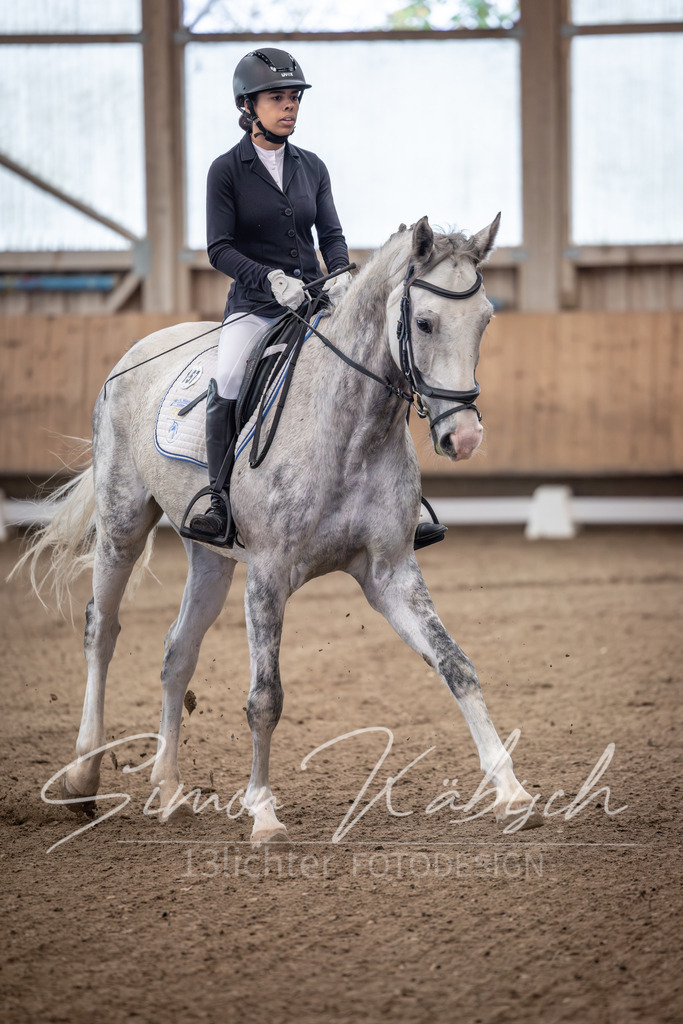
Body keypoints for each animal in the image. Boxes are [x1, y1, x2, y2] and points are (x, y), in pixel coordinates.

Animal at [14, 214, 541, 842]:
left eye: (485, 318)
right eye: (425, 322)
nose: (463, 438)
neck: (351, 429)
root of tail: (134, 354)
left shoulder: (390, 573)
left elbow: (456, 664)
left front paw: (511, 791)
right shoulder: (267, 575)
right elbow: (265, 698)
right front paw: (262, 812)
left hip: (211, 556)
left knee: (177, 652)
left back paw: (168, 791)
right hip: (123, 524)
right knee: (101, 630)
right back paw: (82, 778)